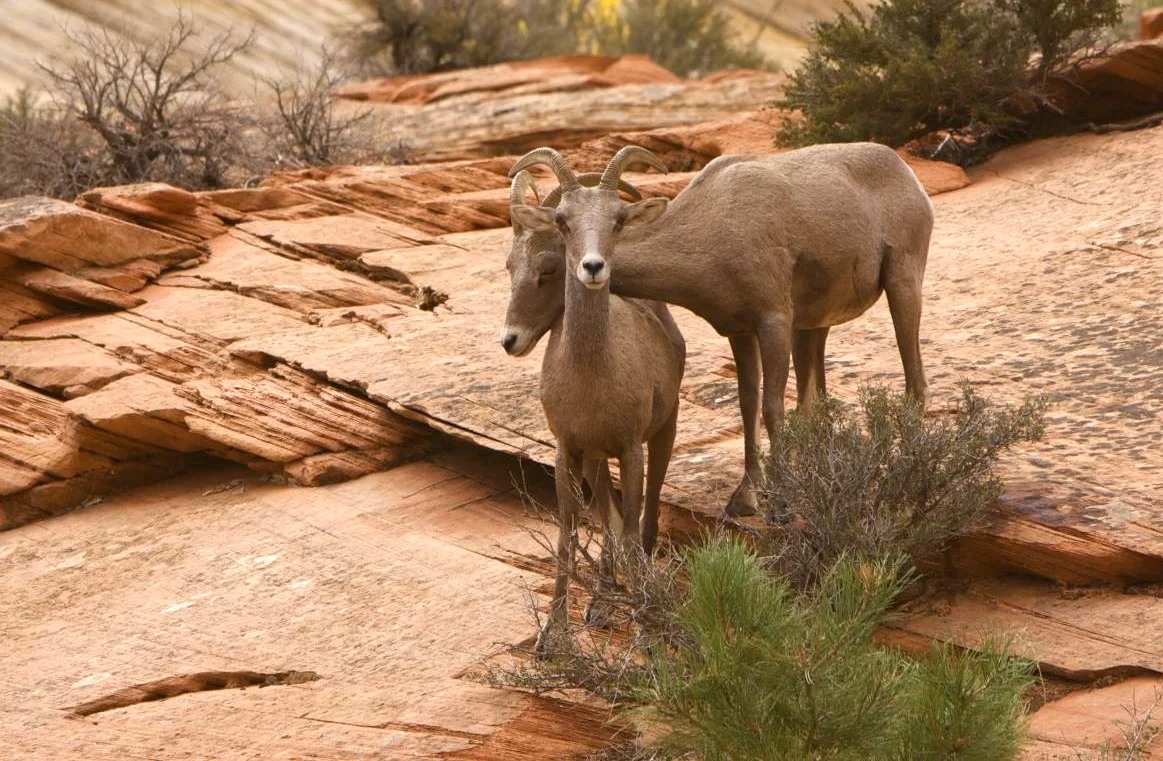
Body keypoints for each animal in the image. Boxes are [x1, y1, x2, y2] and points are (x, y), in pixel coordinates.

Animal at [501, 142, 934, 517]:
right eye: (511, 266)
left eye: (548, 267)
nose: (511, 339)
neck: (714, 227)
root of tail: (906, 173)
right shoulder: (740, 332)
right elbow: (748, 405)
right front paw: (746, 498)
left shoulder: (773, 321)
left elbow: (772, 407)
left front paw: (781, 500)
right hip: (815, 326)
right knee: (816, 402)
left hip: (902, 283)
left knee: (914, 379)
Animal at [506, 147, 685, 650]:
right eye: (563, 221)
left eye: (618, 220)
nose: (592, 267)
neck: (591, 378)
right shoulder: (568, 451)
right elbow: (569, 536)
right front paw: (552, 638)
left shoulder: (629, 448)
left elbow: (632, 530)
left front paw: (645, 634)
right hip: (595, 462)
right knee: (608, 519)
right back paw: (603, 602)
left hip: (662, 435)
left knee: (644, 521)